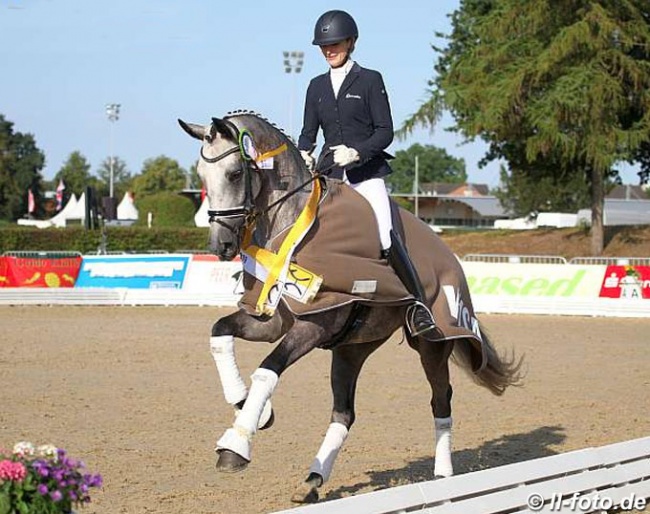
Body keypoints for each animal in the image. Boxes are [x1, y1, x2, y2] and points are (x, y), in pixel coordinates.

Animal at [177, 111, 520, 500]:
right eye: (201, 177)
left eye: (235, 173)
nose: (220, 245)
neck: (295, 226)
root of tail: (450, 256)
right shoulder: (270, 323)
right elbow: (219, 333)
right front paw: (250, 406)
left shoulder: (313, 326)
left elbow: (267, 370)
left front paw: (236, 445)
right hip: (351, 349)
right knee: (344, 413)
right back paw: (313, 479)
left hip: (431, 345)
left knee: (440, 399)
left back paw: (443, 476)